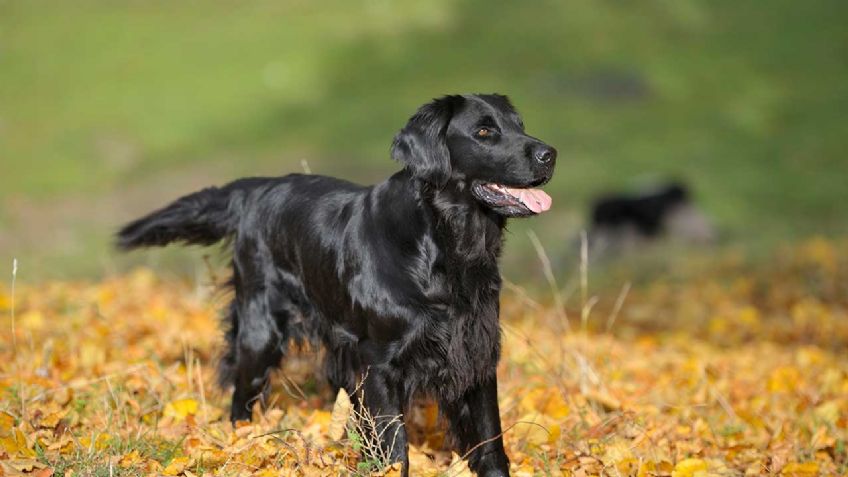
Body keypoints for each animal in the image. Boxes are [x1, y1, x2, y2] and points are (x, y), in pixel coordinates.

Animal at [119, 94, 556, 476]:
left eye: (519, 125)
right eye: (484, 132)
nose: (549, 153)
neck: (443, 246)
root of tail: (256, 190)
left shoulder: (475, 352)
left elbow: (490, 443)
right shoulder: (379, 364)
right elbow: (395, 450)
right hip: (261, 330)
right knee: (241, 396)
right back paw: (241, 441)